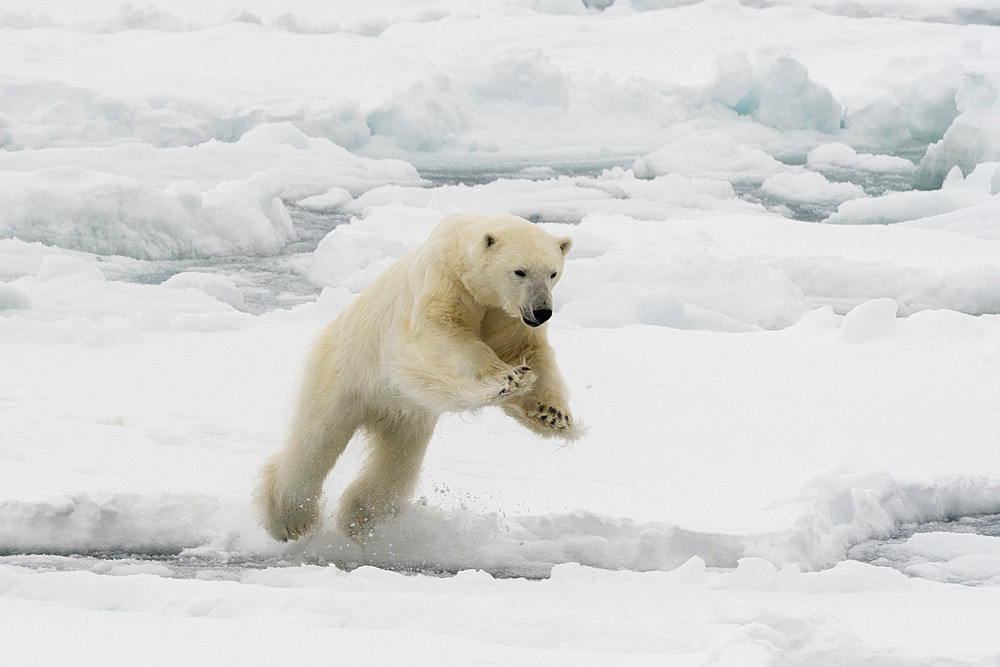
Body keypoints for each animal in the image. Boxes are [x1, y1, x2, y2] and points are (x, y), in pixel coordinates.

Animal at [258, 214, 580, 544]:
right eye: (520, 271)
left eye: (553, 273)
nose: (542, 311)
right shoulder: (444, 281)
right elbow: (441, 331)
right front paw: (509, 378)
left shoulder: (506, 315)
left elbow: (527, 350)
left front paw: (553, 415)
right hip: (344, 371)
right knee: (318, 439)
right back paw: (290, 520)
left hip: (407, 413)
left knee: (398, 460)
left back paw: (358, 517)